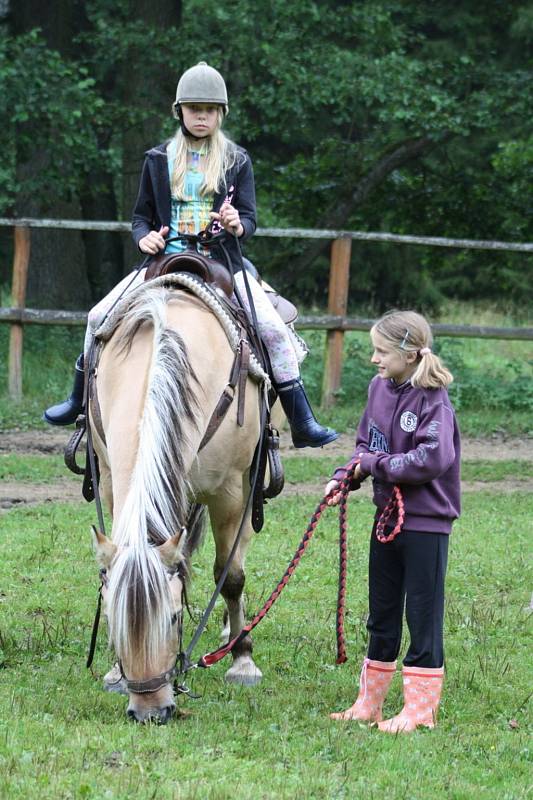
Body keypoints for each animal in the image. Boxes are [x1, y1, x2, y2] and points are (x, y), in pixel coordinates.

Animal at [89, 278, 264, 720]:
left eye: (171, 619)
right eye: (113, 621)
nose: (151, 712)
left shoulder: (229, 492)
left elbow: (230, 577)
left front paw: (243, 661)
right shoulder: (113, 482)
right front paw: (114, 673)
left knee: (235, 559)